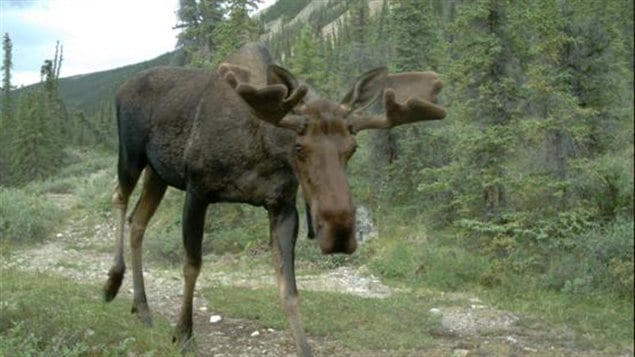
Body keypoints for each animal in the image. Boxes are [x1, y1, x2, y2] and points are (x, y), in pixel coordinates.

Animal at [104, 42, 448, 356]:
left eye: (352, 148)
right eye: (298, 147)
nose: (339, 232)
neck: (261, 148)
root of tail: (121, 87)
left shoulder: (282, 206)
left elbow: (289, 288)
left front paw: (304, 348)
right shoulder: (197, 190)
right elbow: (192, 265)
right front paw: (184, 334)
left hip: (158, 173)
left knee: (138, 221)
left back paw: (142, 308)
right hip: (131, 155)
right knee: (119, 197)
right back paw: (112, 283)